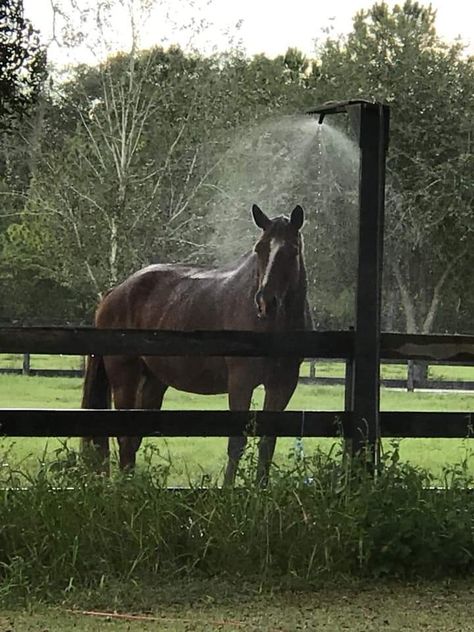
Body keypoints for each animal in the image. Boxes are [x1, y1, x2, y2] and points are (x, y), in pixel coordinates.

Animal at [81, 202, 312, 484]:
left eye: (292, 250)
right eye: (259, 248)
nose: (265, 302)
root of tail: (114, 294)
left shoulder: (283, 385)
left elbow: (267, 443)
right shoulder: (241, 382)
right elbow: (237, 442)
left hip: (152, 382)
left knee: (133, 440)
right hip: (125, 378)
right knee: (125, 439)